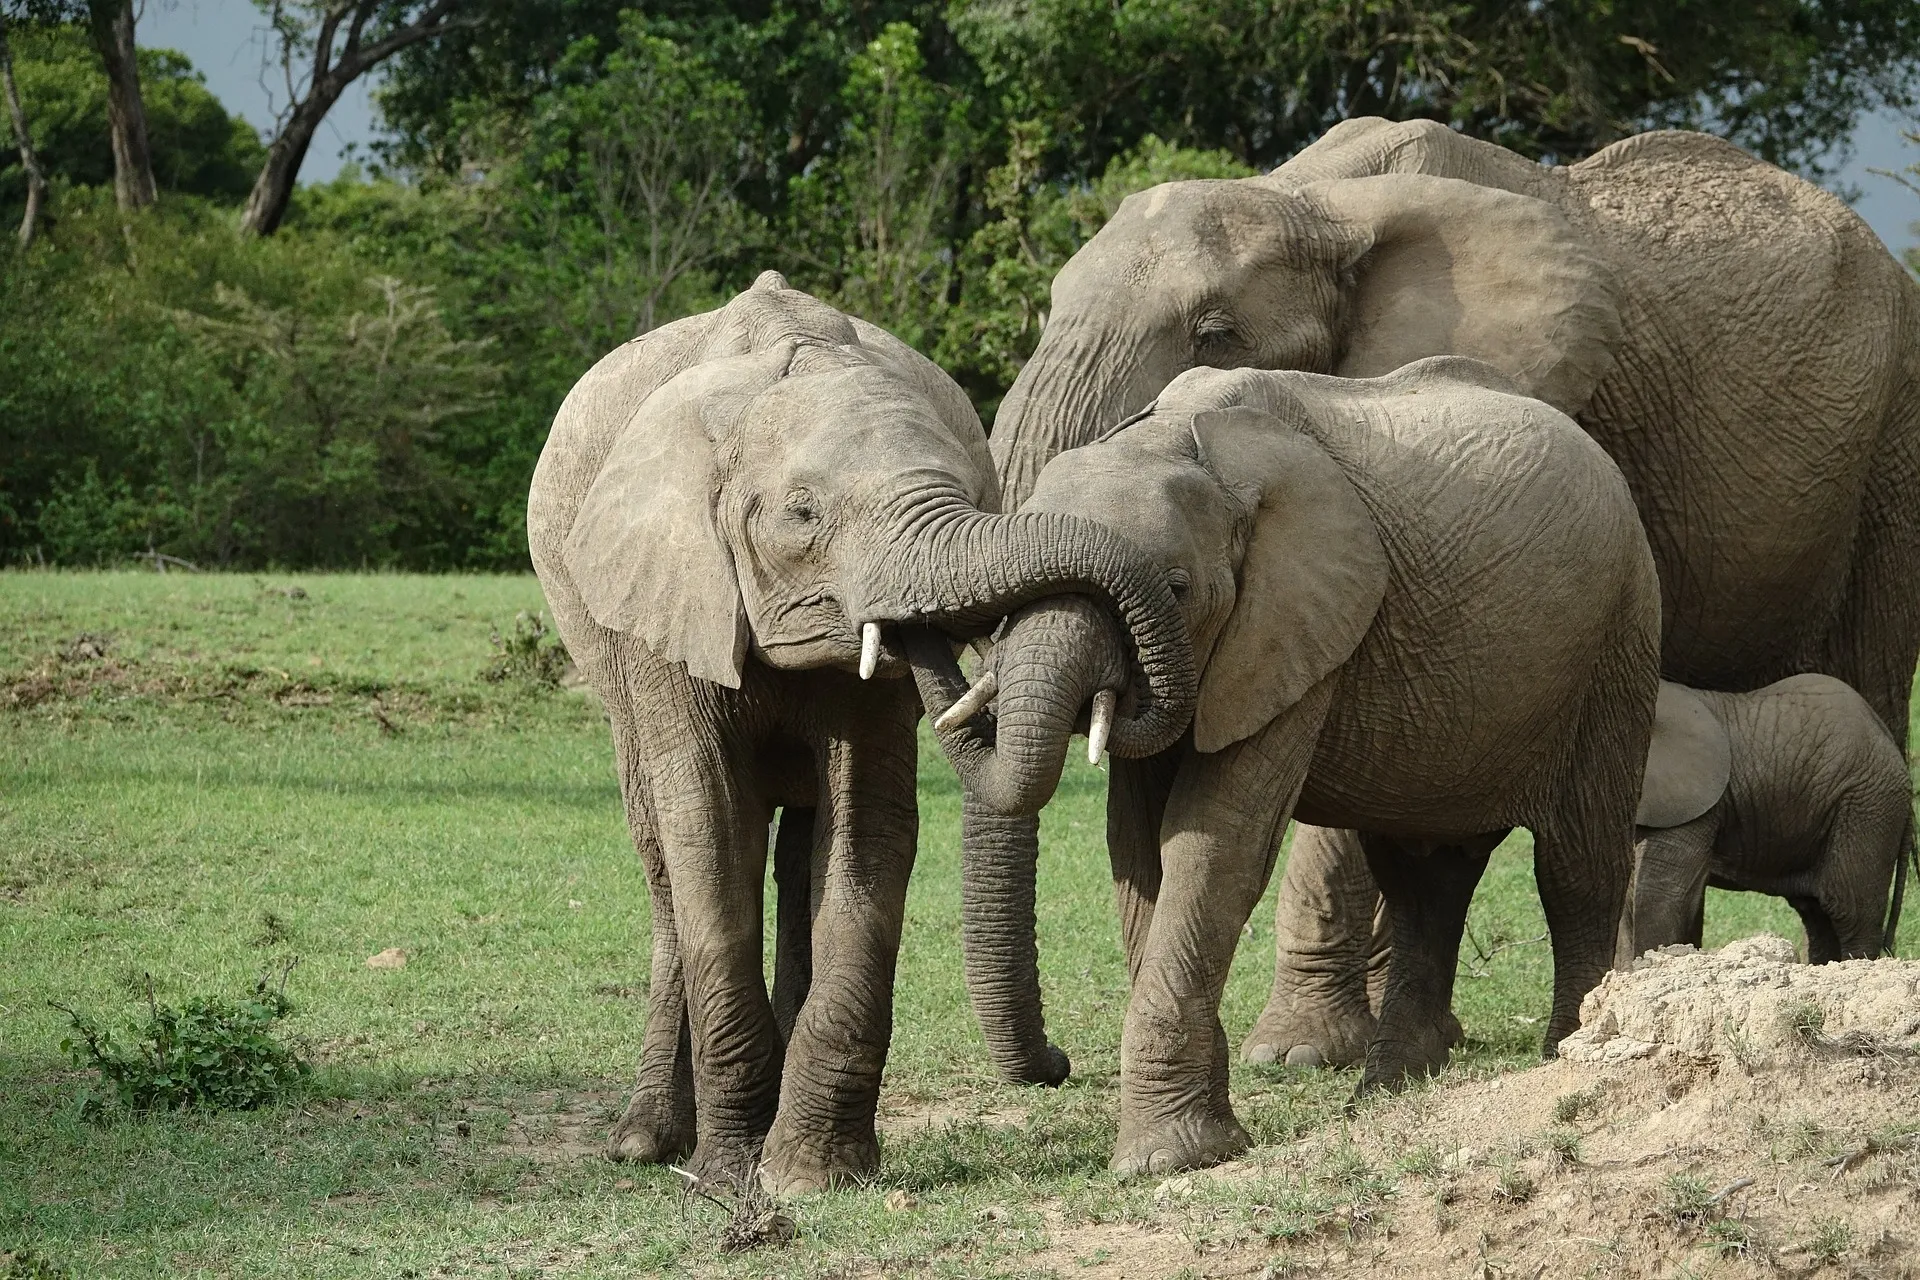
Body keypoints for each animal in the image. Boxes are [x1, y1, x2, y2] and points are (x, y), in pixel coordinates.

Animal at [518, 272, 1190, 1205]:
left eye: (974, 496)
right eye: (802, 514)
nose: (1059, 1065)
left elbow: (869, 823)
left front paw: (811, 1178)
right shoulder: (666, 599)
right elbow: (706, 824)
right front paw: (728, 1182)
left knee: (802, 849)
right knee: (660, 855)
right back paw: (645, 1141)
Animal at [913, 355, 1666, 1174]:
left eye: (1177, 588)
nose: (1056, 1067)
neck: (1178, 444)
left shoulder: (1293, 626)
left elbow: (1213, 842)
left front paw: (1170, 1159)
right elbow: (1140, 848)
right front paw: (1201, 1142)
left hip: (1620, 637)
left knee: (1575, 863)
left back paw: (1568, 1052)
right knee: (1424, 875)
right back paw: (1388, 1092)